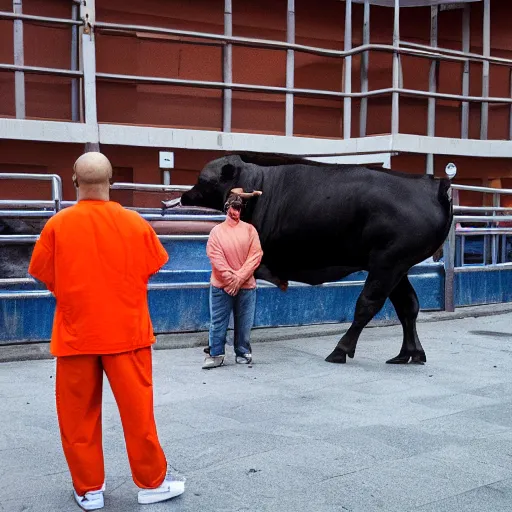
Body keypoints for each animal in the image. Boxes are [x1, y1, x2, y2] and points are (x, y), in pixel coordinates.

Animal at [168, 153, 452, 364]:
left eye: (202, 179)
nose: (184, 195)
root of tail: (432, 185)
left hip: (388, 263)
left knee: (368, 304)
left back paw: (341, 350)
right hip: (397, 266)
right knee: (408, 306)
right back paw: (410, 353)